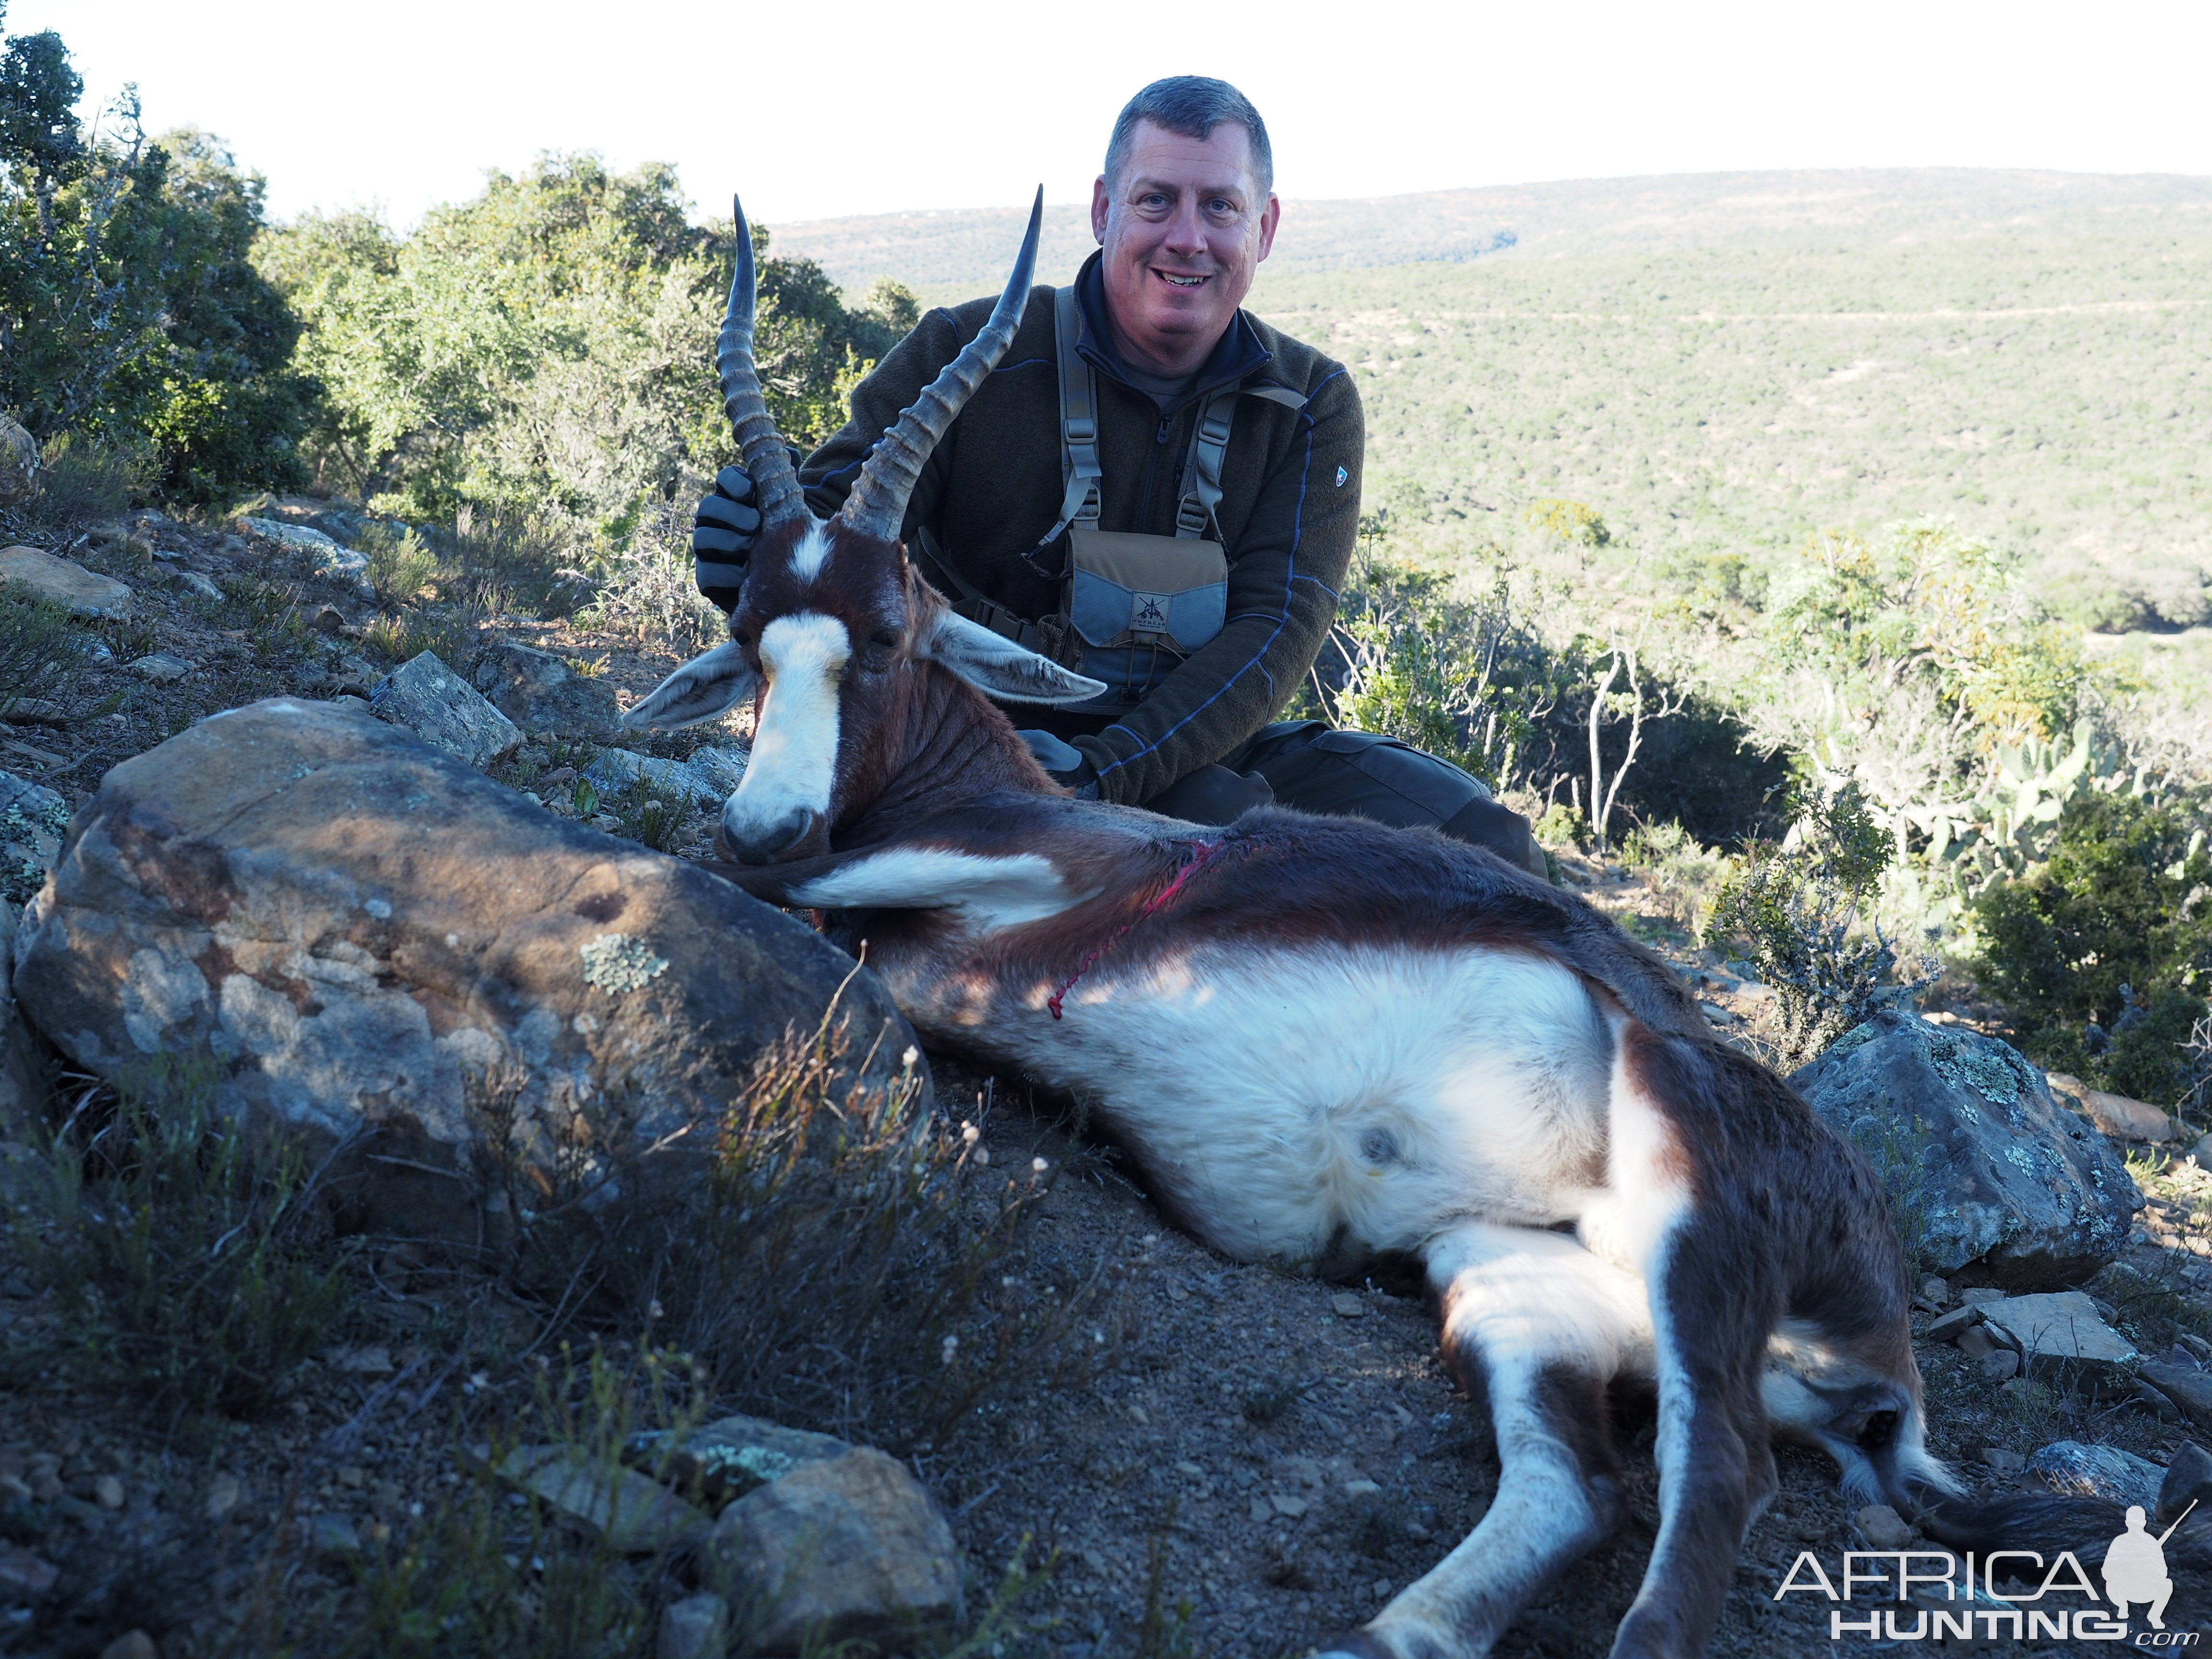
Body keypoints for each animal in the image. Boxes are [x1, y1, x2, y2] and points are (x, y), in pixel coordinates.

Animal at [637, 191, 1955, 1659]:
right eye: (753, 640)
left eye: (879, 634)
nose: (769, 818)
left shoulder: (1034, 866)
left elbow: (773, 883)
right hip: (1512, 1279)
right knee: (1580, 1488)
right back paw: (1386, 1632)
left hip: (1685, 1211)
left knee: (1716, 1472)